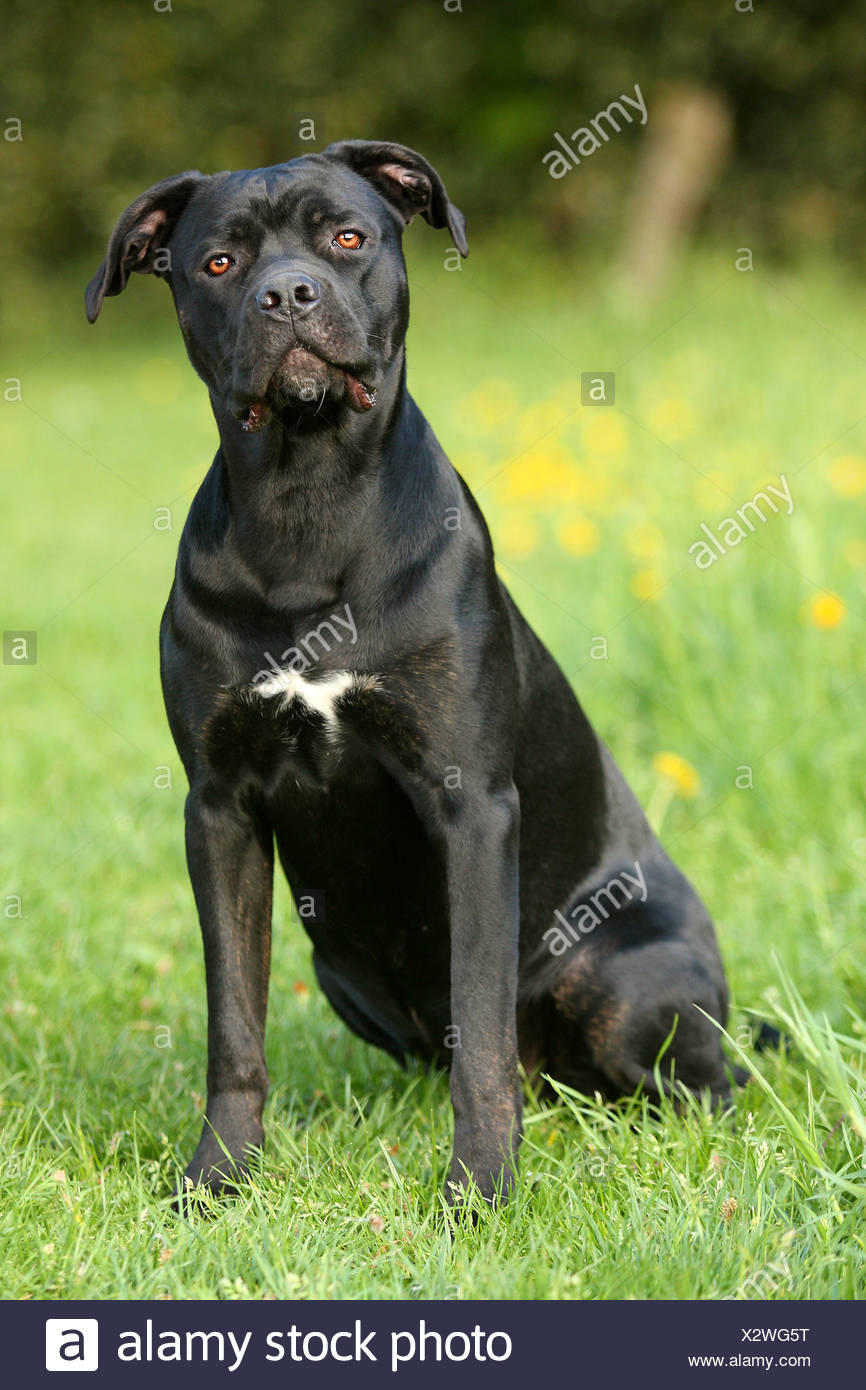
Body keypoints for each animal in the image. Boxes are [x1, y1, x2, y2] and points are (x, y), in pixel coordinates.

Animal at [86, 143, 739, 1206]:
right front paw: (218, 1180)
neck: (307, 501)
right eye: (219, 262)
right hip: (343, 972)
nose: (288, 294)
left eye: (348, 237)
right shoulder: (219, 808)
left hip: (631, 987)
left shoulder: (468, 800)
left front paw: (479, 1191)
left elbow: (480, 1029)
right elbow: (235, 1027)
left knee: (698, 1084)